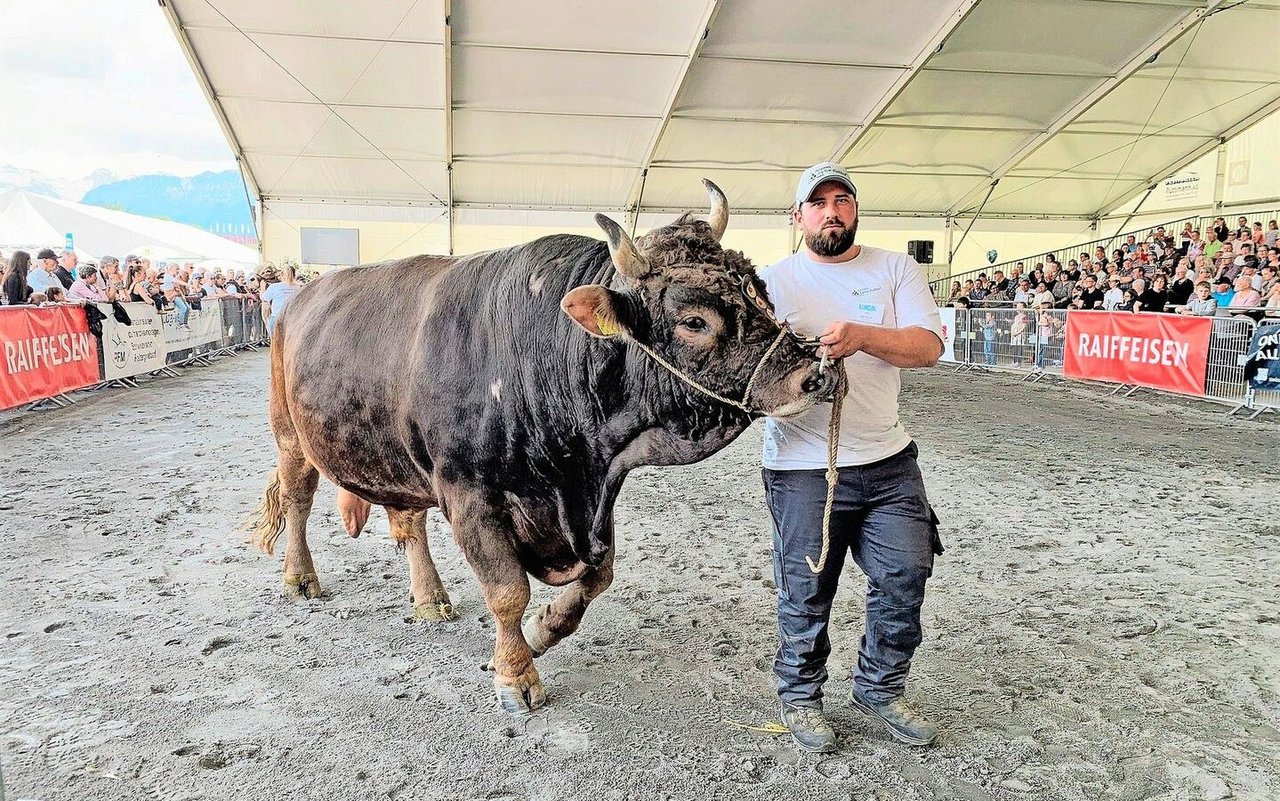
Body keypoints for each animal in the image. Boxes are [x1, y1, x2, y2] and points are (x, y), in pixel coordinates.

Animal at [250, 180, 834, 711]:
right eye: (695, 320)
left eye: (760, 292)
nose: (814, 374)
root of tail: (298, 296)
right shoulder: (470, 494)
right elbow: (508, 591)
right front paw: (515, 674)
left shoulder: (592, 503)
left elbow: (598, 576)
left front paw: (541, 631)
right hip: (290, 434)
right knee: (298, 499)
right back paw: (300, 577)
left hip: (397, 456)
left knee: (409, 521)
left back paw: (430, 597)